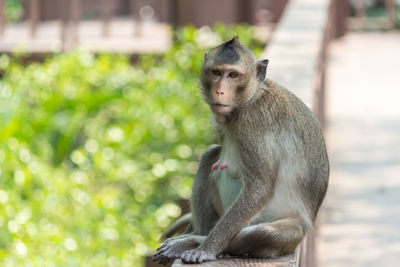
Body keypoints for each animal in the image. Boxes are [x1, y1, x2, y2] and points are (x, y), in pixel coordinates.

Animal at [152, 37, 328, 266]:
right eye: (216, 72)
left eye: (233, 75)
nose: (219, 91)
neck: (250, 100)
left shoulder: (255, 123)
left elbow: (260, 188)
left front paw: (205, 249)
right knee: (209, 155)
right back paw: (198, 233)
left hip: (292, 232)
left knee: (264, 233)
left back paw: (196, 241)